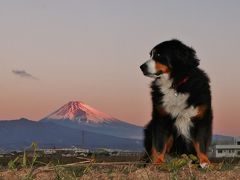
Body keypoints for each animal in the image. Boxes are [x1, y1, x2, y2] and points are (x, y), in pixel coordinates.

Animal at [140, 39, 213, 167]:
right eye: (151, 55)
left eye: (158, 54)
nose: (141, 67)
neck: (176, 86)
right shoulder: (161, 117)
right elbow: (159, 143)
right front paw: (158, 163)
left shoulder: (201, 117)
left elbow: (201, 143)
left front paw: (205, 162)